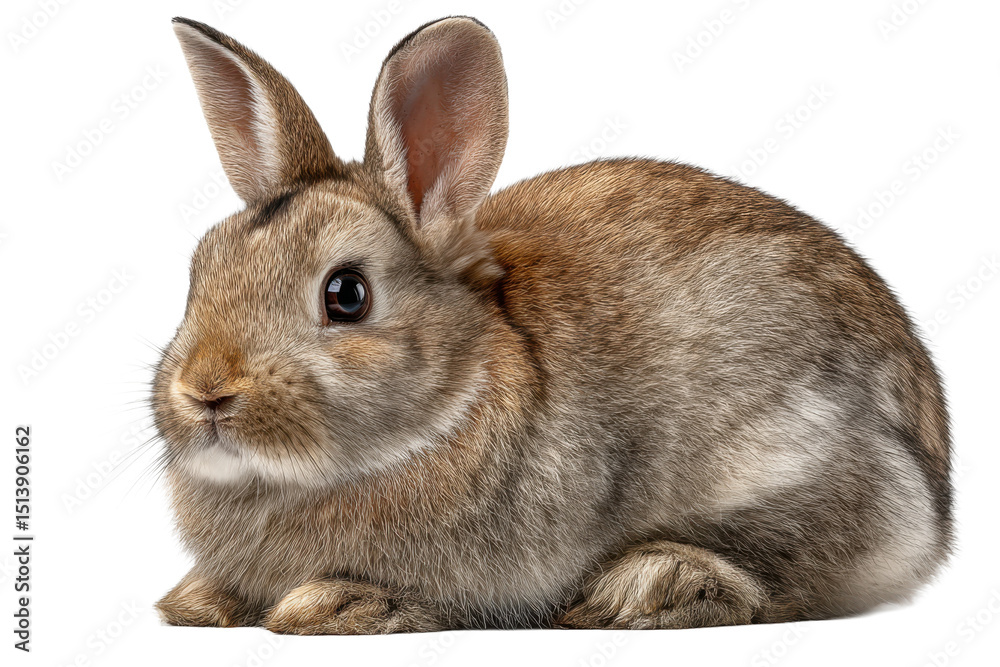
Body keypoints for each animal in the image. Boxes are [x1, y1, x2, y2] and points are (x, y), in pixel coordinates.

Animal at [153, 15, 953, 634]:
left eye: (346, 295)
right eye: (200, 268)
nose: (206, 391)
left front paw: (326, 605)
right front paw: (194, 602)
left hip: (797, 467)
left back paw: (646, 586)